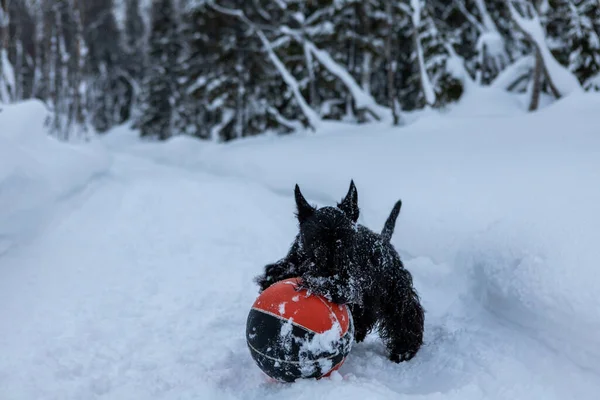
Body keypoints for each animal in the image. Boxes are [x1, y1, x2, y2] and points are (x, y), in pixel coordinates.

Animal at [255, 181, 424, 362]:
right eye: (315, 240)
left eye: (345, 240)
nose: (329, 281)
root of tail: (383, 239)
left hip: (396, 292)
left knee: (405, 316)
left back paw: (403, 350)